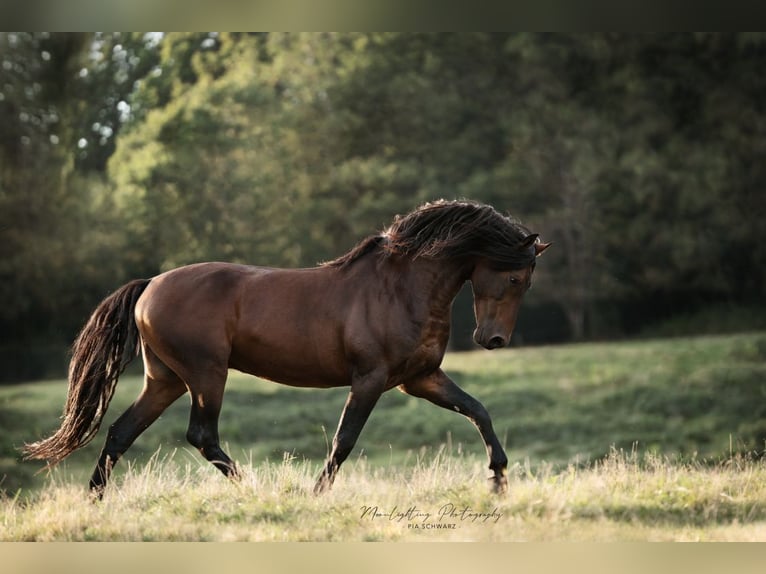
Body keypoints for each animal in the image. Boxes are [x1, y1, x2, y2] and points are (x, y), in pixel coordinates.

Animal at [23, 199, 550, 497]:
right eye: (515, 278)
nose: (493, 340)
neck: (402, 287)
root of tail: (150, 285)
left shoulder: (420, 378)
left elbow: (478, 410)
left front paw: (499, 478)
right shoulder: (371, 379)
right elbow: (344, 440)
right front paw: (315, 494)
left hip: (165, 380)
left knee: (121, 433)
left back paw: (95, 500)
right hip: (206, 374)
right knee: (201, 435)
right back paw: (256, 489)